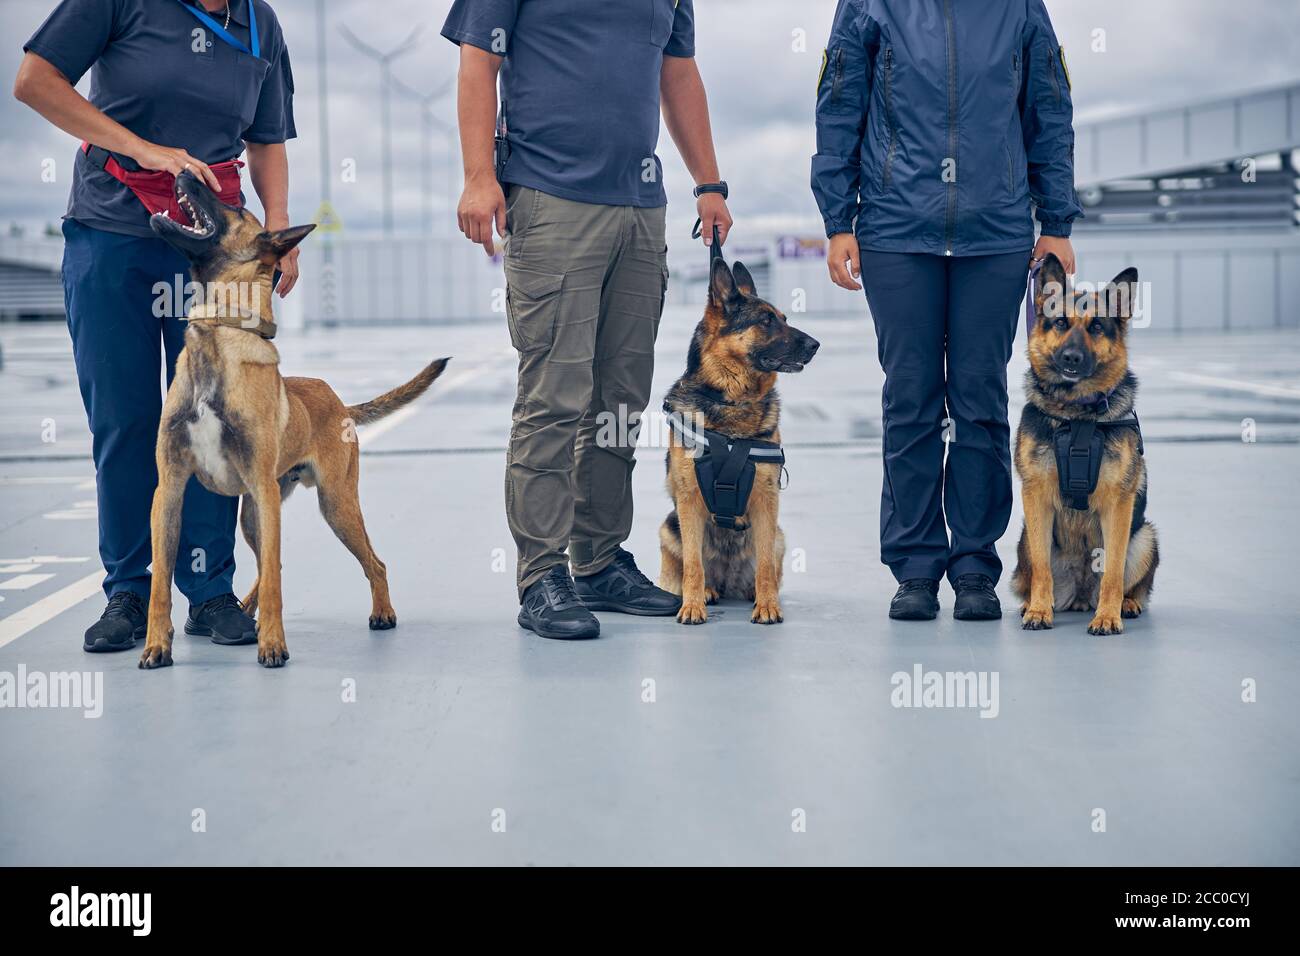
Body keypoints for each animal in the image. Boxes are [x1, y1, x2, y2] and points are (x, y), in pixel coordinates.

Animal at [139, 167, 449, 671]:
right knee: (270, 567)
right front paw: (155, 645)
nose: (185, 169)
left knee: (367, 563)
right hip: (254, 516)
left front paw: (273, 645)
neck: (220, 332)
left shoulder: (263, 490)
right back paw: (244, 611)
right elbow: (160, 581)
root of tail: (339, 402)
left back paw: (381, 612)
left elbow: (276, 583)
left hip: (334, 504)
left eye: (236, 207)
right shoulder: (170, 489)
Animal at [660, 257, 821, 624]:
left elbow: (764, 566)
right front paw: (692, 605)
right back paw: (705, 591)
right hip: (669, 527)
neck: (731, 402)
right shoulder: (689, 500)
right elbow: (693, 565)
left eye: (784, 319)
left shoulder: (766, 498)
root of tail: (727, 579)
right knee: (692, 566)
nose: (815, 345)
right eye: (765, 321)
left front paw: (768, 605)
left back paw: (752, 593)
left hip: (778, 535)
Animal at [1013, 254, 1159, 634]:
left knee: (1129, 581)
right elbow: (1042, 570)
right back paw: (1034, 603)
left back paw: (1127, 604)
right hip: (1025, 538)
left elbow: (1112, 571)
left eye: (1095, 328)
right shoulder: (1035, 496)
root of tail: (1079, 594)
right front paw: (1039, 611)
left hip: (1145, 537)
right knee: (1034, 572)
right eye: (1061, 323)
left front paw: (1107, 616)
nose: (1071, 358)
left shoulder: (1118, 503)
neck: (1077, 413)